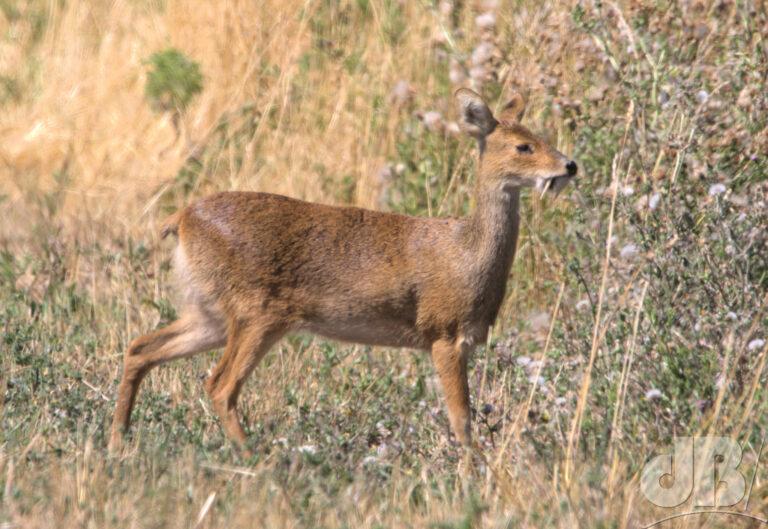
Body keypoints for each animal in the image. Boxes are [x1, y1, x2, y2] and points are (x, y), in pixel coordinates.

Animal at [106, 88, 576, 452]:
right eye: (522, 146)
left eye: (541, 136)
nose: (569, 165)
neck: (467, 252)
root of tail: (181, 219)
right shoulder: (443, 333)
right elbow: (462, 420)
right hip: (257, 314)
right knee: (219, 385)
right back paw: (254, 458)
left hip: (212, 314)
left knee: (141, 348)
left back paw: (117, 442)